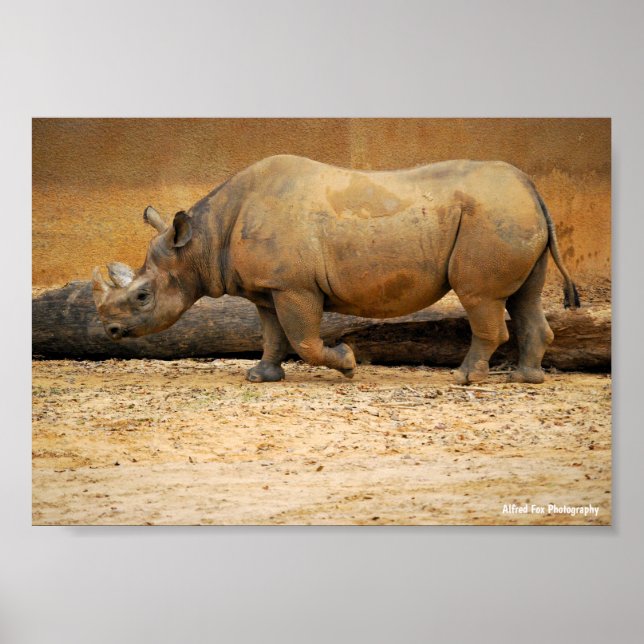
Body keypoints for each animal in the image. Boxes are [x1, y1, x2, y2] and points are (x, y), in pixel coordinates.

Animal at [92, 154, 579, 384]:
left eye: (142, 296)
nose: (110, 332)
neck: (202, 241)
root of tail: (531, 186)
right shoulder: (267, 288)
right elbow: (272, 336)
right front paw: (261, 377)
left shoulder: (294, 285)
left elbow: (304, 340)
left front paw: (347, 363)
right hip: (511, 213)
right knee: (524, 298)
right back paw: (525, 378)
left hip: (494, 215)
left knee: (480, 296)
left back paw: (463, 379)